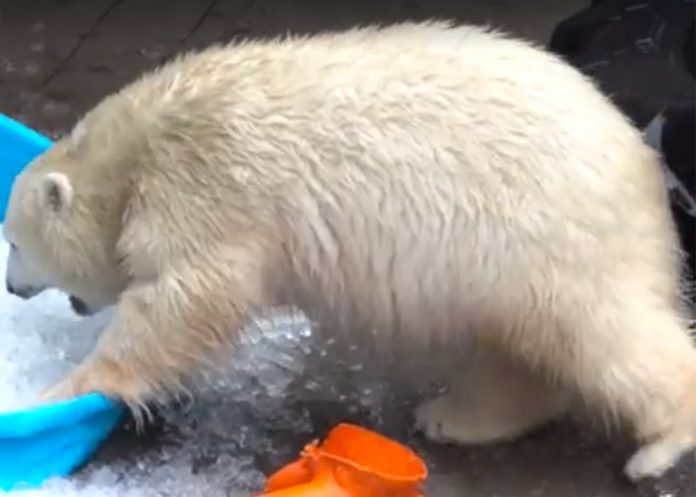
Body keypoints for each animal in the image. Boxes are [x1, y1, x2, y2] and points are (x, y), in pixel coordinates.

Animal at [3, 21, 695, 482]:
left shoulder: (208, 191)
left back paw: (656, 449)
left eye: (13, 241)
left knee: (605, 337)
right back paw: (455, 416)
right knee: (512, 351)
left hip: (553, 238)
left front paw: (60, 391)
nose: (11, 287)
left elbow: (184, 302)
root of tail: (640, 163)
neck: (138, 151)